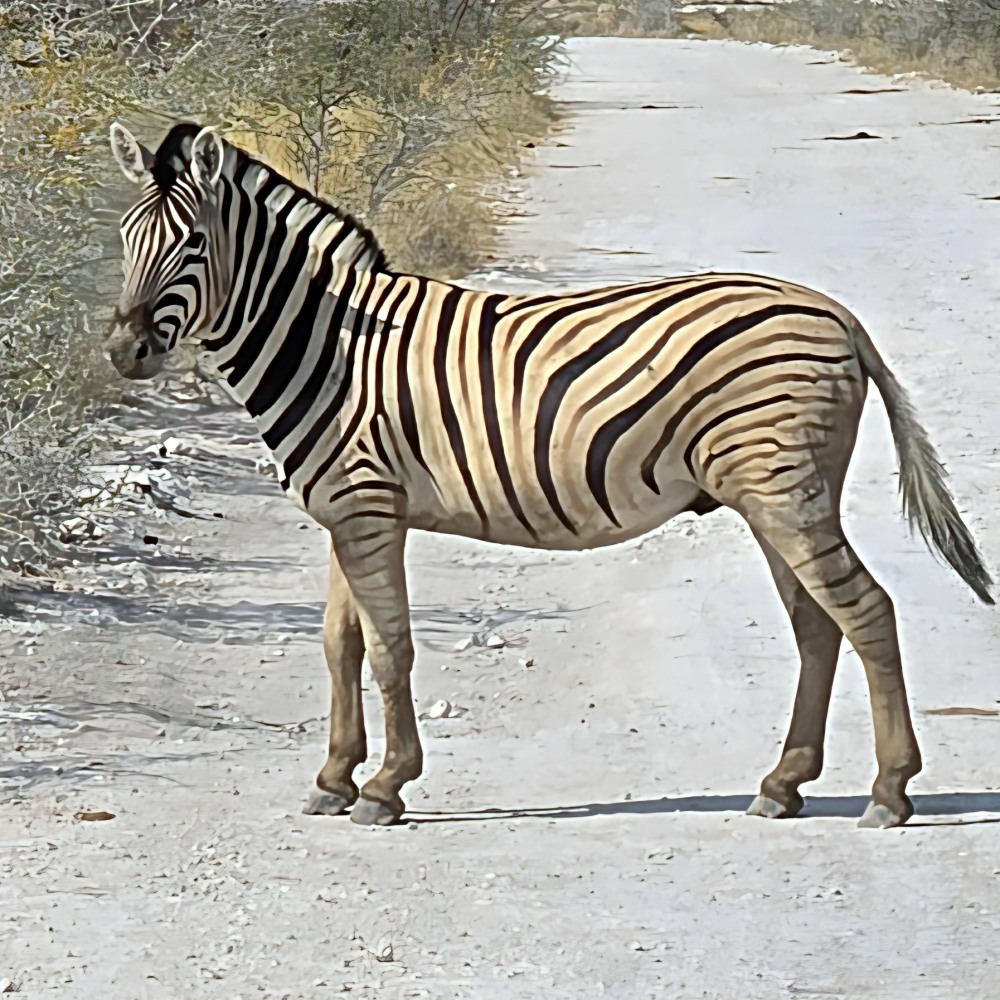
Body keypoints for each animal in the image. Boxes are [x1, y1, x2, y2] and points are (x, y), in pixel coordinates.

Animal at [107, 120, 992, 830]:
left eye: (191, 245)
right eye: (124, 239)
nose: (123, 353)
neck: (332, 348)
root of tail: (837, 313)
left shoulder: (365, 507)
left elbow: (390, 649)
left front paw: (386, 787)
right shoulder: (343, 511)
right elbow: (339, 644)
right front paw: (332, 778)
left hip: (784, 489)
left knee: (867, 611)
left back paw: (889, 793)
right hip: (772, 493)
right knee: (818, 624)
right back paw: (783, 784)